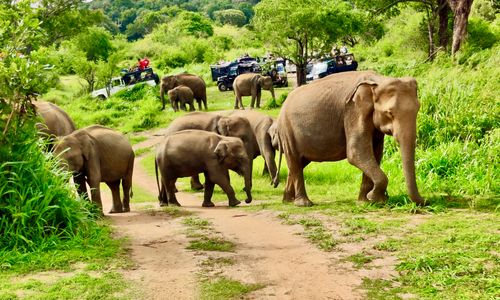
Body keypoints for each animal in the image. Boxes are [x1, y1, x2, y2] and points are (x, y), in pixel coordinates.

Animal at [278, 70, 426, 206]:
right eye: (389, 113)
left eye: (418, 109)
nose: (425, 200)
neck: (377, 80)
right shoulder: (353, 109)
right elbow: (357, 152)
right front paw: (374, 198)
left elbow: (375, 154)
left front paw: (366, 202)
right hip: (287, 130)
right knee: (295, 162)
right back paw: (303, 203)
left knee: (298, 164)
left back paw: (287, 200)